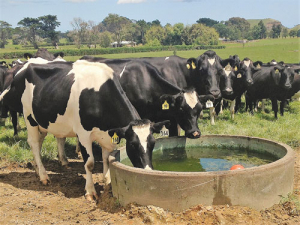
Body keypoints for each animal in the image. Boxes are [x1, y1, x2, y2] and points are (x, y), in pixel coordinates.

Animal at [0, 58, 169, 200]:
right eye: (133, 145)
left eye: (153, 143)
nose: (148, 171)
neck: (98, 95)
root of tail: (26, 65)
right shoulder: (83, 135)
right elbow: (90, 163)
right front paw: (90, 191)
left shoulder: (107, 134)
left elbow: (107, 158)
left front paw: (107, 181)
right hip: (29, 118)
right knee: (34, 144)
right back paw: (43, 176)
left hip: (43, 122)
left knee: (39, 143)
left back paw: (36, 168)